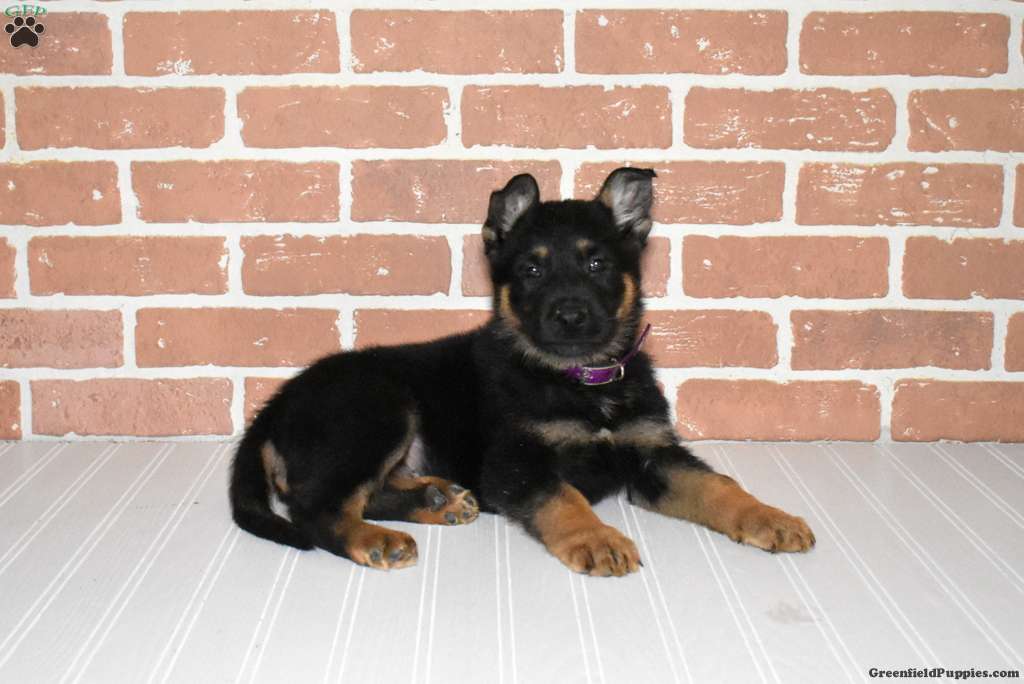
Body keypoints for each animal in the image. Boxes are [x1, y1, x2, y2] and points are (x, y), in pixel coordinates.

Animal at [229, 167, 815, 576]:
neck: (580, 380)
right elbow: (563, 496)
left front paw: (772, 518)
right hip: (378, 405)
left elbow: (718, 486)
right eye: (531, 270)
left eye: (598, 264)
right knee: (316, 507)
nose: (570, 315)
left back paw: (436, 500)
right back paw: (375, 538)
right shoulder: (514, 461)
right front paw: (597, 539)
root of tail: (274, 408)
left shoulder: (653, 453)